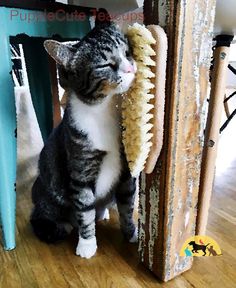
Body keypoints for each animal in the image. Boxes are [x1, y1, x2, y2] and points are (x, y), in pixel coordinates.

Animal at [31, 20, 138, 258]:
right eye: (106, 64)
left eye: (127, 52)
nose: (131, 68)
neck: (105, 108)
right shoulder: (81, 169)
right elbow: (85, 208)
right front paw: (87, 244)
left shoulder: (126, 171)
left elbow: (127, 205)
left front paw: (132, 234)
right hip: (46, 195)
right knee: (45, 217)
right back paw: (65, 224)